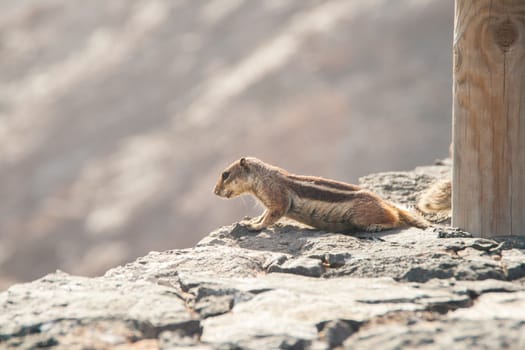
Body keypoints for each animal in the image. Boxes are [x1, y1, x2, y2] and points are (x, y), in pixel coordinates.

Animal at [212, 158, 426, 232]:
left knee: (395, 218)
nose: (214, 191)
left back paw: (377, 226)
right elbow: (265, 214)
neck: (262, 177)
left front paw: (255, 226)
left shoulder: (277, 197)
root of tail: (382, 200)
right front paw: (251, 220)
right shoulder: (270, 202)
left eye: (225, 174)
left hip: (361, 215)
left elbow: (271, 216)